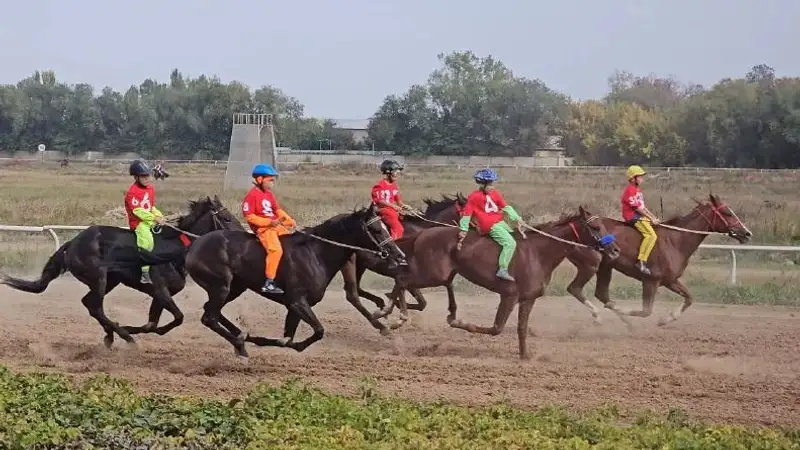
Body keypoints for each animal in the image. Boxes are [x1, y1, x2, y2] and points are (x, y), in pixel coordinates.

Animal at [0, 196, 244, 348]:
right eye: (226, 218)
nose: (241, 235)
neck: (175, 250)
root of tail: (73, 242)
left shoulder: (160, 294)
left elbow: (153, 323)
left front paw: (132, 328)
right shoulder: (161, 290)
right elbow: (177, 317)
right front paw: (128, 329)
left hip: (110, 281)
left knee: (89, 303)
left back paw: (112, 334)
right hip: (98, 277)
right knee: (95, 306)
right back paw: (123, 336)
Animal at [184, 205, 404, 362]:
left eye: (386, 227)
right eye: (376, 229)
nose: (399, 256)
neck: (315, 254)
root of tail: (196, 244)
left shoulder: (294, 306)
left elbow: (289, 337)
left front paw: (257, 339)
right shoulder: (298, 301)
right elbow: (317, 331)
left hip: (235, 287)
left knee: (211, 311)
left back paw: (241, 337)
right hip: (221, 286)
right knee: (209, 317)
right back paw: (240, 345)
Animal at [340, 193, 466, 334]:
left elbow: (424, 300)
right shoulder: (408, 275)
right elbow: (418, 300)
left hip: (360, 266)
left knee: (356, 289)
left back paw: (380, 303)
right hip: (352, 265)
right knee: (352, 294)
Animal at [372, 205, 620, 358]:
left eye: (603, 225)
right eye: (595, 227)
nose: (615, 250)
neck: (539, 253)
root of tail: (423, 233)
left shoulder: (528, 299)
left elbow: (521, 328)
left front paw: (526, 356)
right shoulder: (509, 295)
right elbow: (496, 328)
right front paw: (462, 323)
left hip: (441, 274)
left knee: (404, 281)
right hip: (432, 274)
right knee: (402, 279)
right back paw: (390, 315)